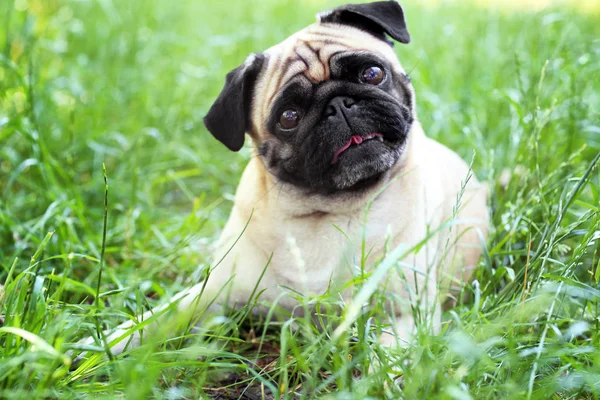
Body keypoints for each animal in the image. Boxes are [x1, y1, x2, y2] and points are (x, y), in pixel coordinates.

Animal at [78, 0, 488, 356]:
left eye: (372, 73)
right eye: (289, 117)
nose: (339, 105)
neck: (328, 212)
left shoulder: (403, 315)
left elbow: (384, 369)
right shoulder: (209, 295)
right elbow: (146, 324)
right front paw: (89, 351)